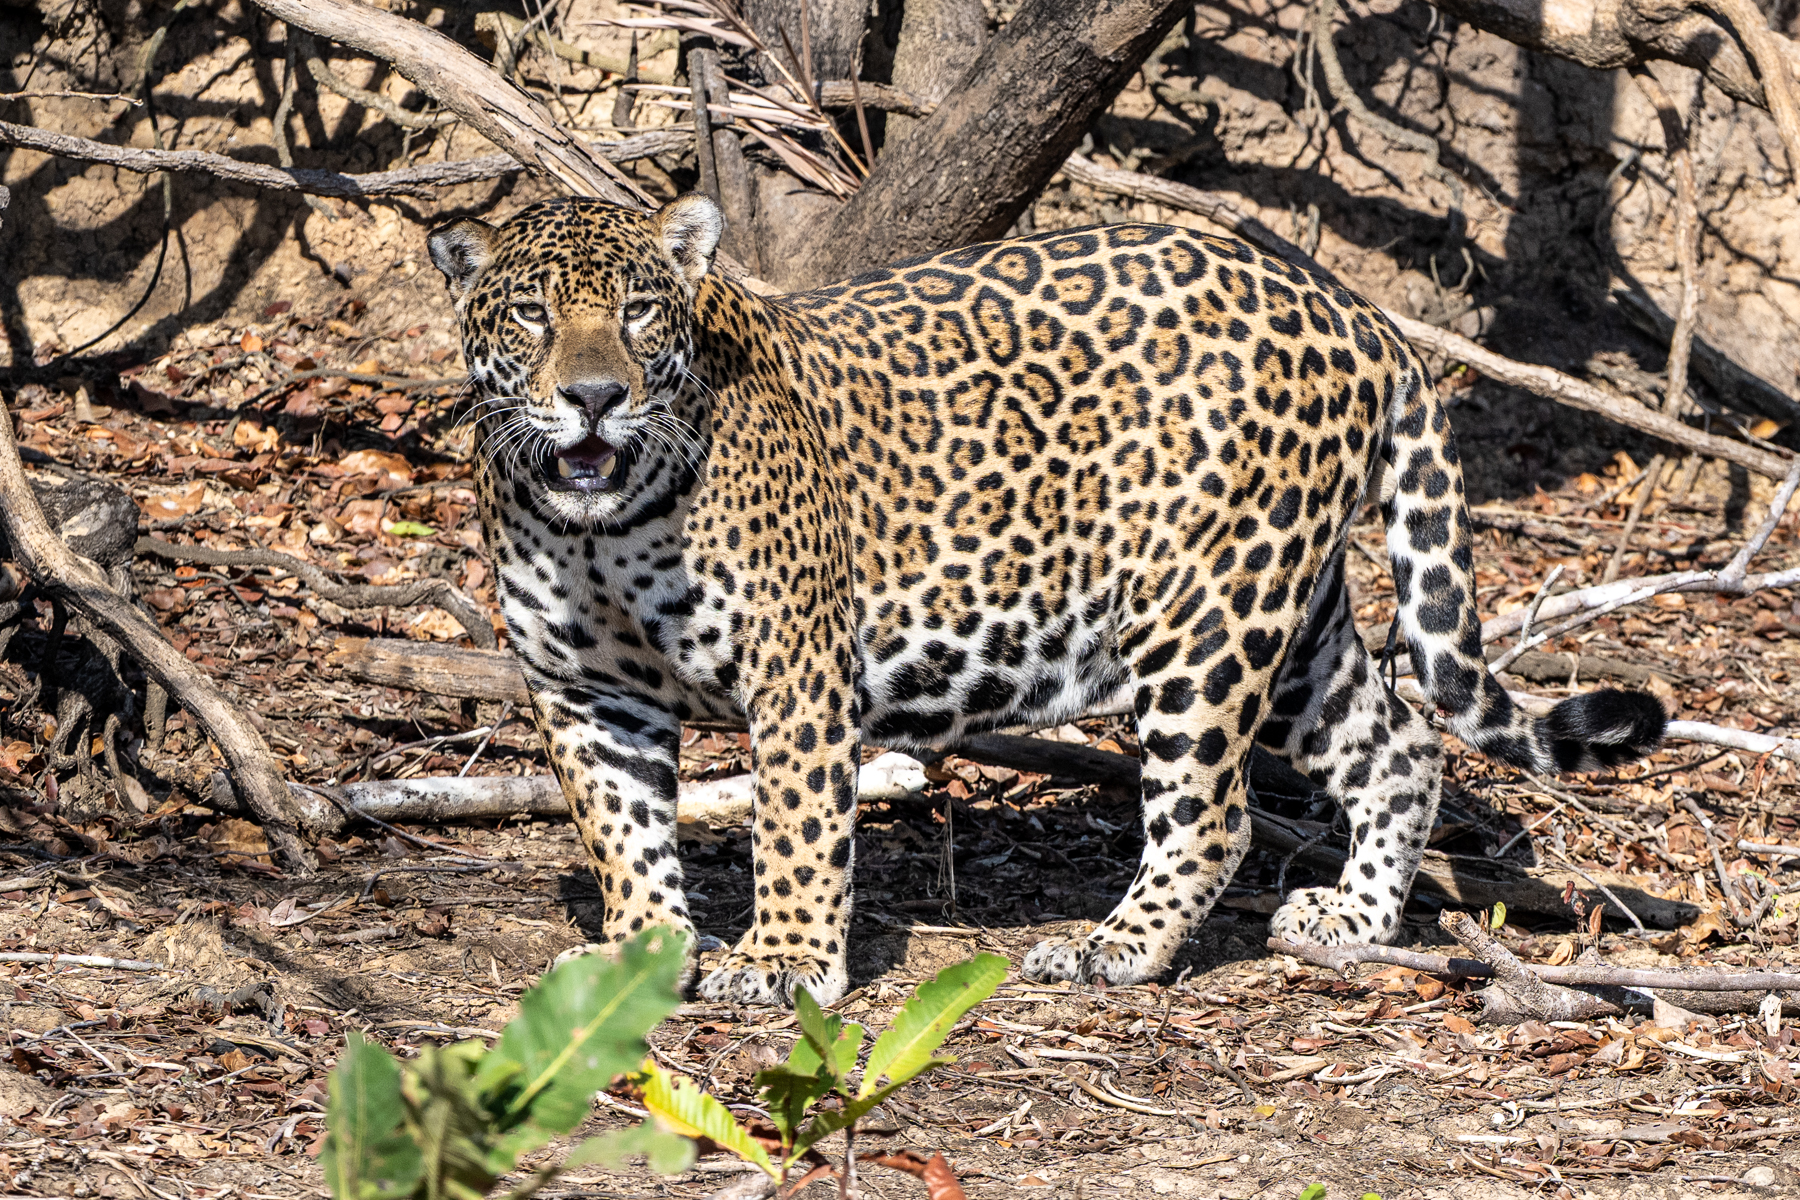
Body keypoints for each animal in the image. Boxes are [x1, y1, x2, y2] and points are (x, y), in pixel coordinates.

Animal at [426, 194, 1665, 1007]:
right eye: (531, 314)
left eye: (640, 310)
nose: (595, 397)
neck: (599, 523)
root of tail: (1359, 312)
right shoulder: (584, 693)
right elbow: (620, 833)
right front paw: (640, 955)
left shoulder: (797, 675)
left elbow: (796, 827)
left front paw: (782, 965)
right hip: (1293, 616)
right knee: (1399, 741)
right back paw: (1352, 919)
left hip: (1202, 612)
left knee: (1213, 814)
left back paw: (1112, 949)